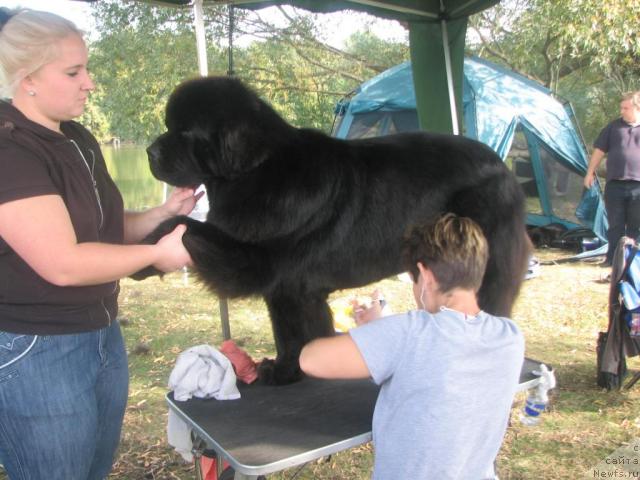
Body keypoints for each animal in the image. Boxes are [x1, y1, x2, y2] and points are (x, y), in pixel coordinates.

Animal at [139, 77, 528, 384]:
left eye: (185, 131)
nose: (148, 152)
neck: (257, 171)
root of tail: (504, 168)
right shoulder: (282, 287)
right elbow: (286, 331)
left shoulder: (268, 268)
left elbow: (186, 225)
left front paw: (283, 373)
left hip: (488, 261)